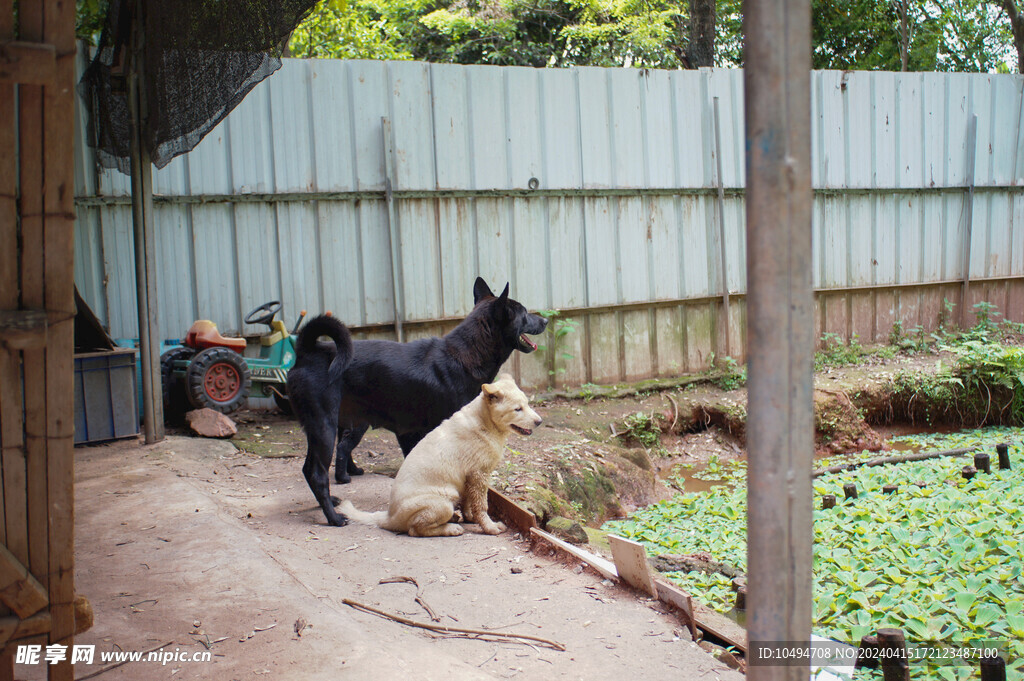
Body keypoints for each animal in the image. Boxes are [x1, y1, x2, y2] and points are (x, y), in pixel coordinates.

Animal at [339, 372, 540, 536]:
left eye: (527, 405)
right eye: (517, 409)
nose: (539, 421)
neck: (485, 423)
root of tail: (389, 517)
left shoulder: (469, 478)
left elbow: (469, 502)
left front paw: (470, 517)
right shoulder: (479, 474)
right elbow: (482, 505)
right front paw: (490, 527)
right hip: (442, 503)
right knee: (415, 529)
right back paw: (451, 528)